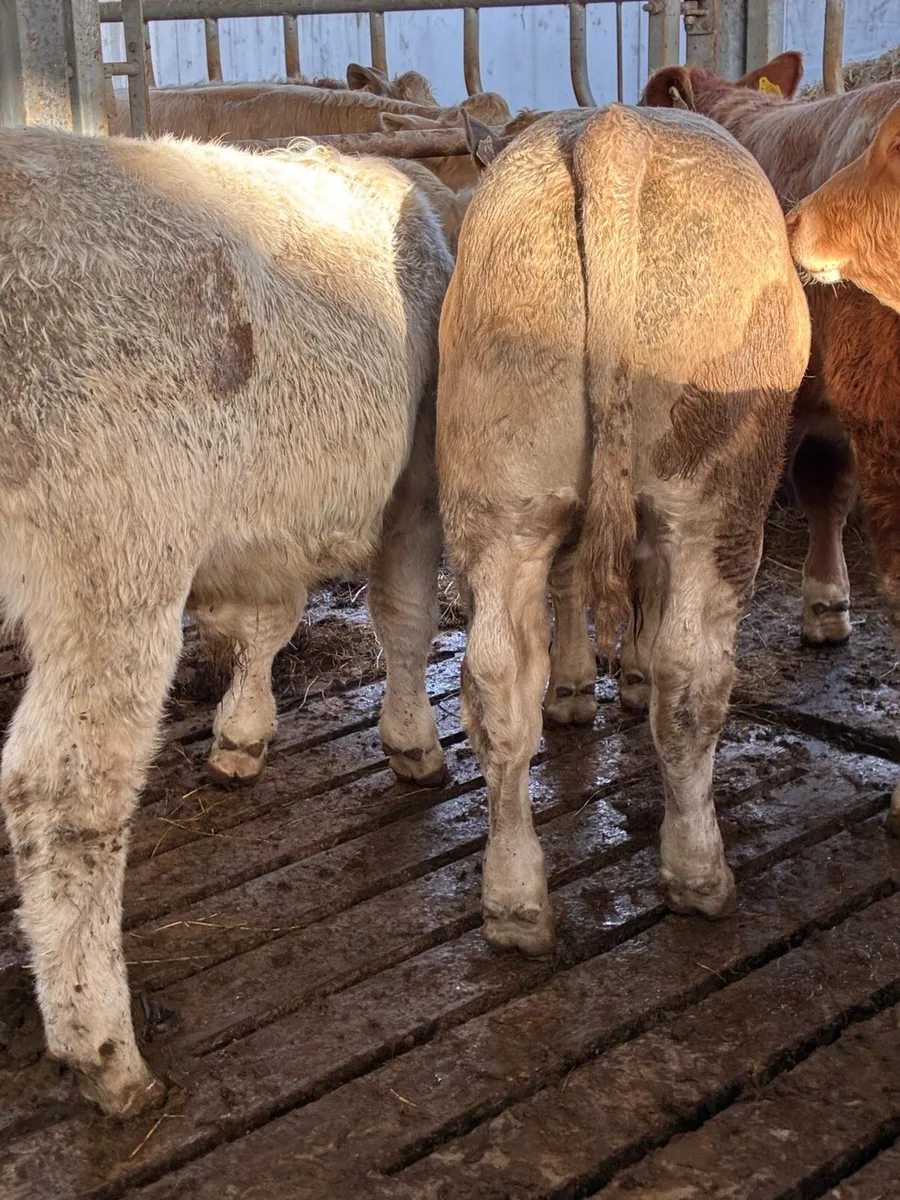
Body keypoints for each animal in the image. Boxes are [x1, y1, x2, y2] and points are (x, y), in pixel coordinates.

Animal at [0, 126, 453, 1117]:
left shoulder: (260, 526)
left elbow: (268, 624)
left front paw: (241, 735)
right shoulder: (414, 484)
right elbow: (404, 616)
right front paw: (413, 742)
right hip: (118, 557)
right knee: (65, 789)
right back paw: (103, 1048)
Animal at [437, 105, 810, 955]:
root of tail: (614, 129)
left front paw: (585, 684)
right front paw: (624, 674)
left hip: (499, 500)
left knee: (498, 684)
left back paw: (514, 904)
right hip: (716, 499)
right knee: (692, 679)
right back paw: (699, 874)